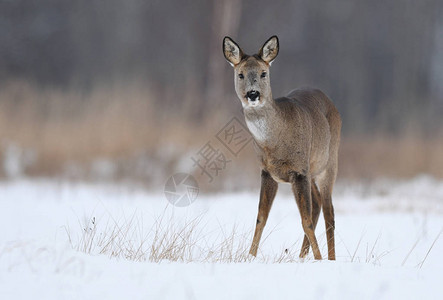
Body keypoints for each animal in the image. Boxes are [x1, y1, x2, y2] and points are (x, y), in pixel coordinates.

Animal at [224, 35, 342, 260]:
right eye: (240, 74)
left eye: (264, 72)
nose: (253, 94)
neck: (275, 143)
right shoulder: (267, 172)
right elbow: (261, 217)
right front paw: (250, 257)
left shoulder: (299, 170)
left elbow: (305, 221)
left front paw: (319, 259)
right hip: (312, 170)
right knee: (318, 204)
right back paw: (302, 256)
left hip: (329, 162)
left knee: (329, 210)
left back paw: (330, 258)